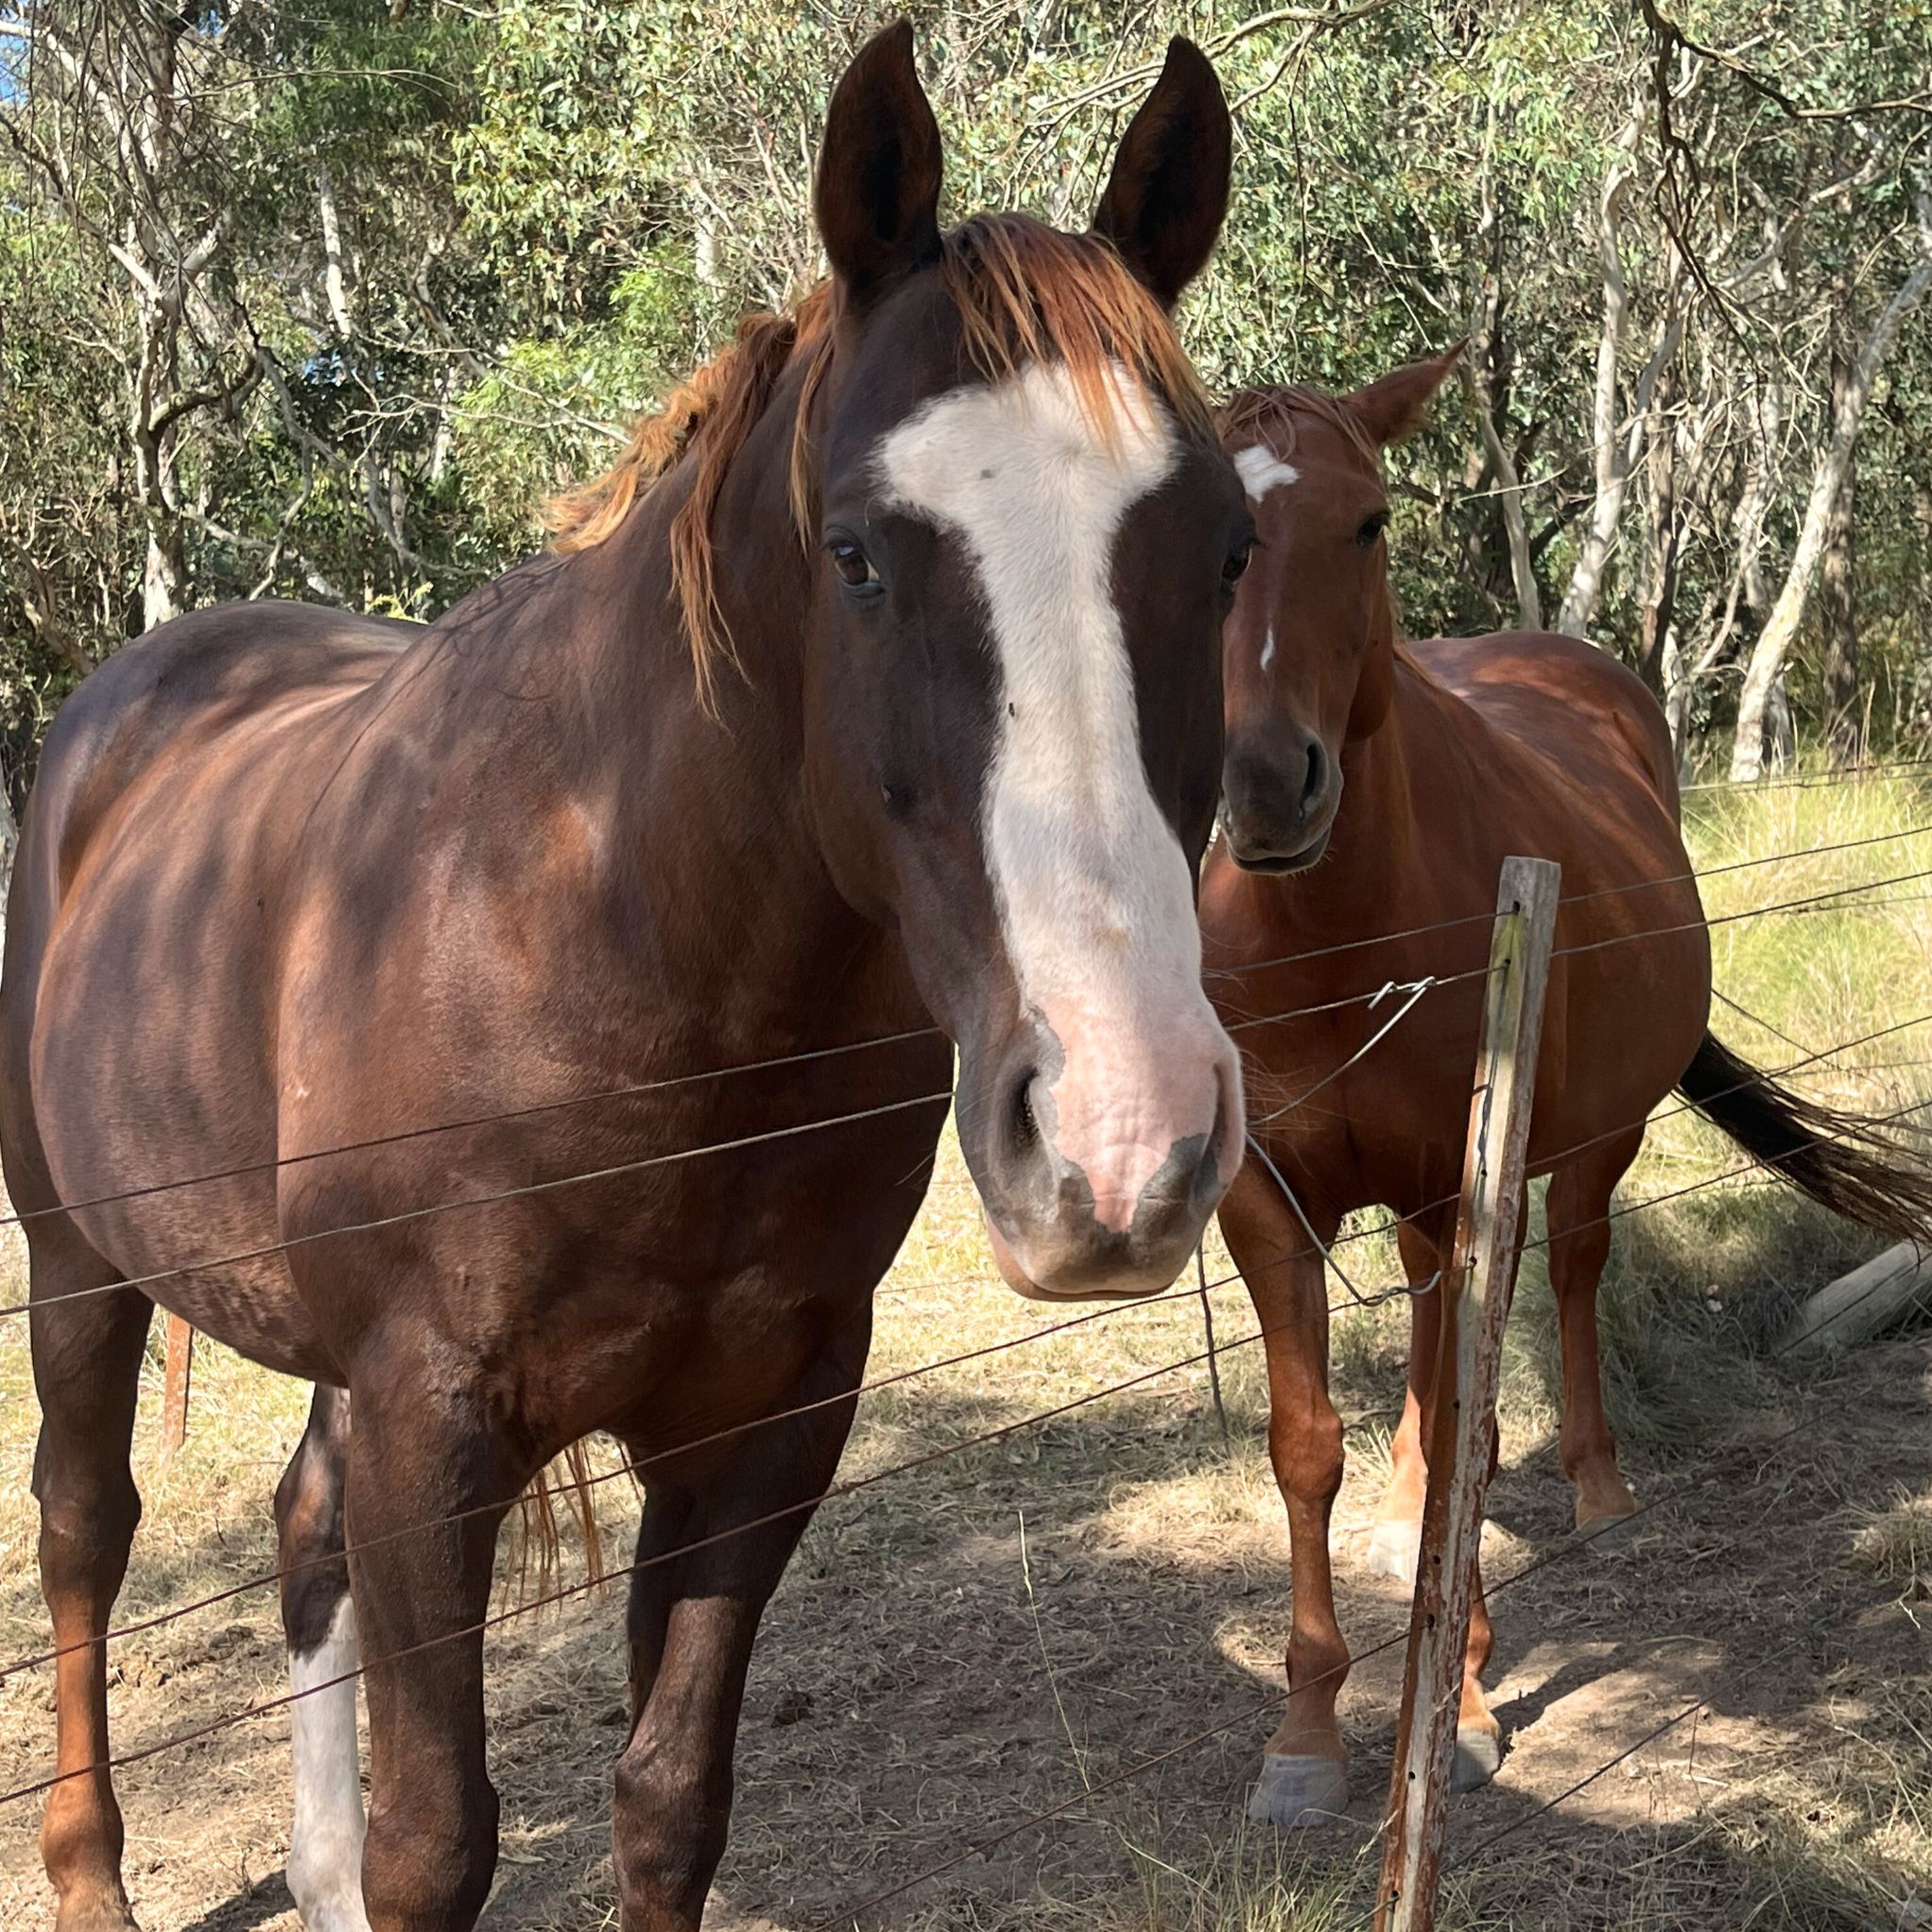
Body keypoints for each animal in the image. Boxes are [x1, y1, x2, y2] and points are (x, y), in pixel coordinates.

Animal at [0, 29, 1256, 1930]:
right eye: (856, 551)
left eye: (1227, 554)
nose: (1125, 1142)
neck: (612, 946)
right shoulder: (430, 1424)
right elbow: (438, 1842)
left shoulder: (758, 1429)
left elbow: (668, 1803)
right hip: (77, 1266)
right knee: (86, 1528)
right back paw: (89, 1873)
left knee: (294, 1530)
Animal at [1200, 348, 1932, 1829]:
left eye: (1366, 523)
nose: (1268, 784)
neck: (1324, 932)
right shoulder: (1268, 1204)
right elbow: (1306, 1443)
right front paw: (1304, 1735)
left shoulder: (1448, 1181)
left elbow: (1467, 1426)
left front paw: (1466, 1700)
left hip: (1593, 1134)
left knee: (1577, 1265)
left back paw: (1595, 1487)